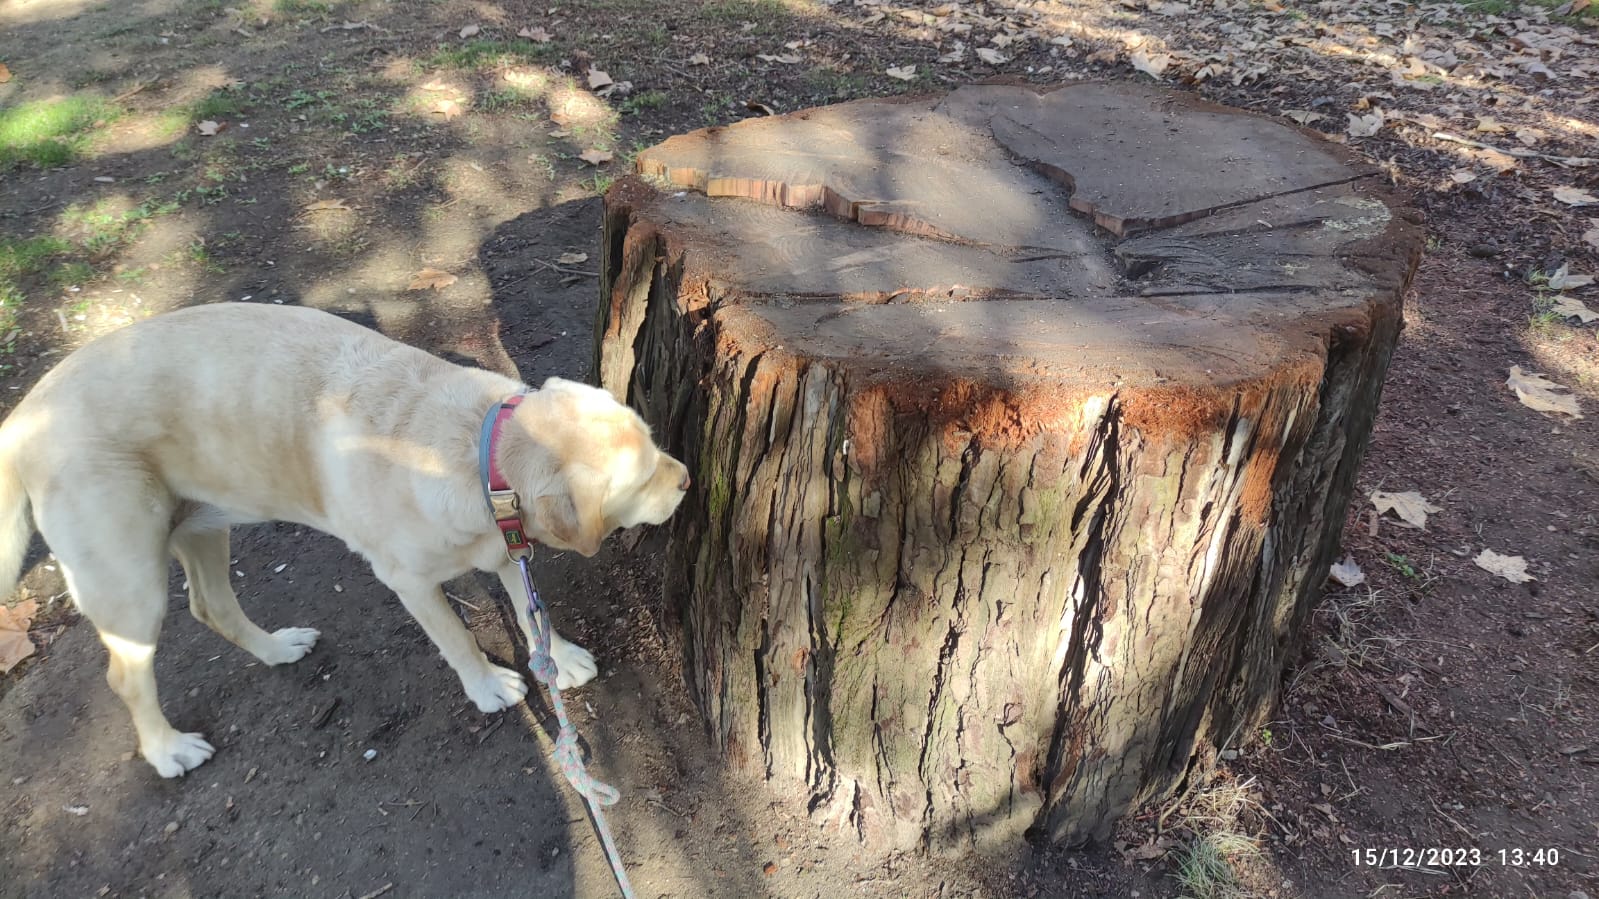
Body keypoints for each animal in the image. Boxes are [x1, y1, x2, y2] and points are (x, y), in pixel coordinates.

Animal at [0, 302, 687, 777]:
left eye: (656, 442)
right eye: (643, 478)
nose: (685, 478)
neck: (476, 449)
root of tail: (23, 415)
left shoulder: (504, 544)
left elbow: (528, 606)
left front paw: (560, 658)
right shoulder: (410, 581)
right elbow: (459, 637)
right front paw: (490, 685)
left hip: (204, 524)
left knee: (212, 606)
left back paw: (278, 648)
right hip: (128, 583)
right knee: (127, 674)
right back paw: (169, 749)